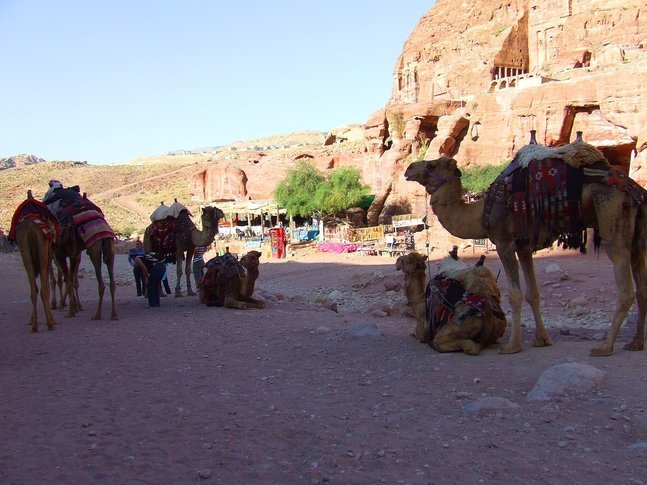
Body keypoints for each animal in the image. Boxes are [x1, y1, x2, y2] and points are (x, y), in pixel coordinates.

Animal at [9, 193, 60, 332]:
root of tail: (30, 228)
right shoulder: (48, 254)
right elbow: (47, 285)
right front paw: (52, 319)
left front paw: (32, 320)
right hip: (42, 253)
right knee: (43, 289)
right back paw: (50, 323)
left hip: (26, 253)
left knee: (33, 290)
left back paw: (35, 326)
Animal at [404, 136, 647, 356]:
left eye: (433, 164)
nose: (409, 169)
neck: (480, 212)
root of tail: (636, 190)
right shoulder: (524, 247)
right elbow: (533, 293)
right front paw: (542, 339)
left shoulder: (504, 242)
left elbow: (514, 294)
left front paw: (512, 346)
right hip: (637, 238)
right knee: (641, 283)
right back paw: (635, 343)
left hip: (612, 219)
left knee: (626, 287)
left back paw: (605, 347)